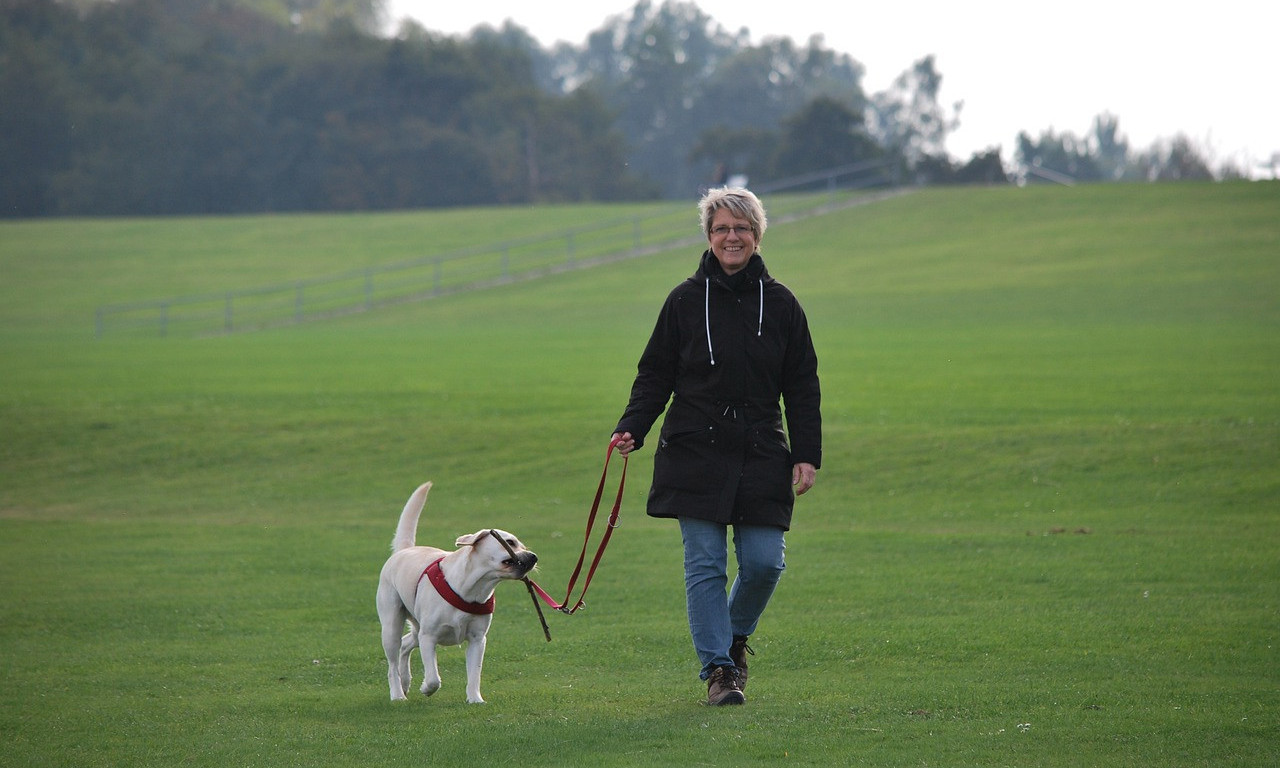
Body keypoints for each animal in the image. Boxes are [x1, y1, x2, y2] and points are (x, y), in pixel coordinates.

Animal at [378, 483, 540, 706]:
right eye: (510, 542)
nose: (534, 557)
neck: (472, 588)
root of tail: (404, 550)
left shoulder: (477, 640)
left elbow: (474, 674)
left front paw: (475, 699)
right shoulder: (429, 637)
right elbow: (433, 678)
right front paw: (426, 689)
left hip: (416, 628)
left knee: (405, 644)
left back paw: (405, 682)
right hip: (392, 625)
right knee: (393, 662)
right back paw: (397, 693)